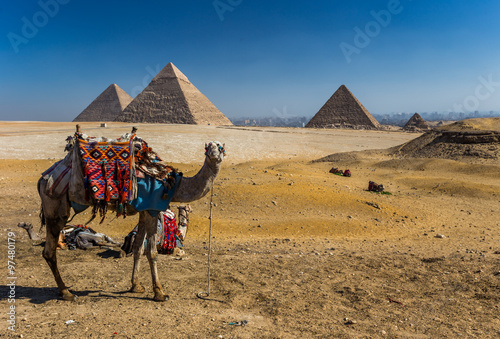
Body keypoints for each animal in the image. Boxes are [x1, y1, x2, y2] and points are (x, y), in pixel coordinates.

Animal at [39, 129, 225, 302]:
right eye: (208, 147)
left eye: (221, 147)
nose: (214, 155)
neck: (173, 185)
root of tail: (43, 178)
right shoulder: (152, 208)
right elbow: (151, 252)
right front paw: (160, 293)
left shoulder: (144, 209)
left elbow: (138, 248)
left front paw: (136, 286)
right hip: (55, 205)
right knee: (49, 251)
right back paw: (66, 292)